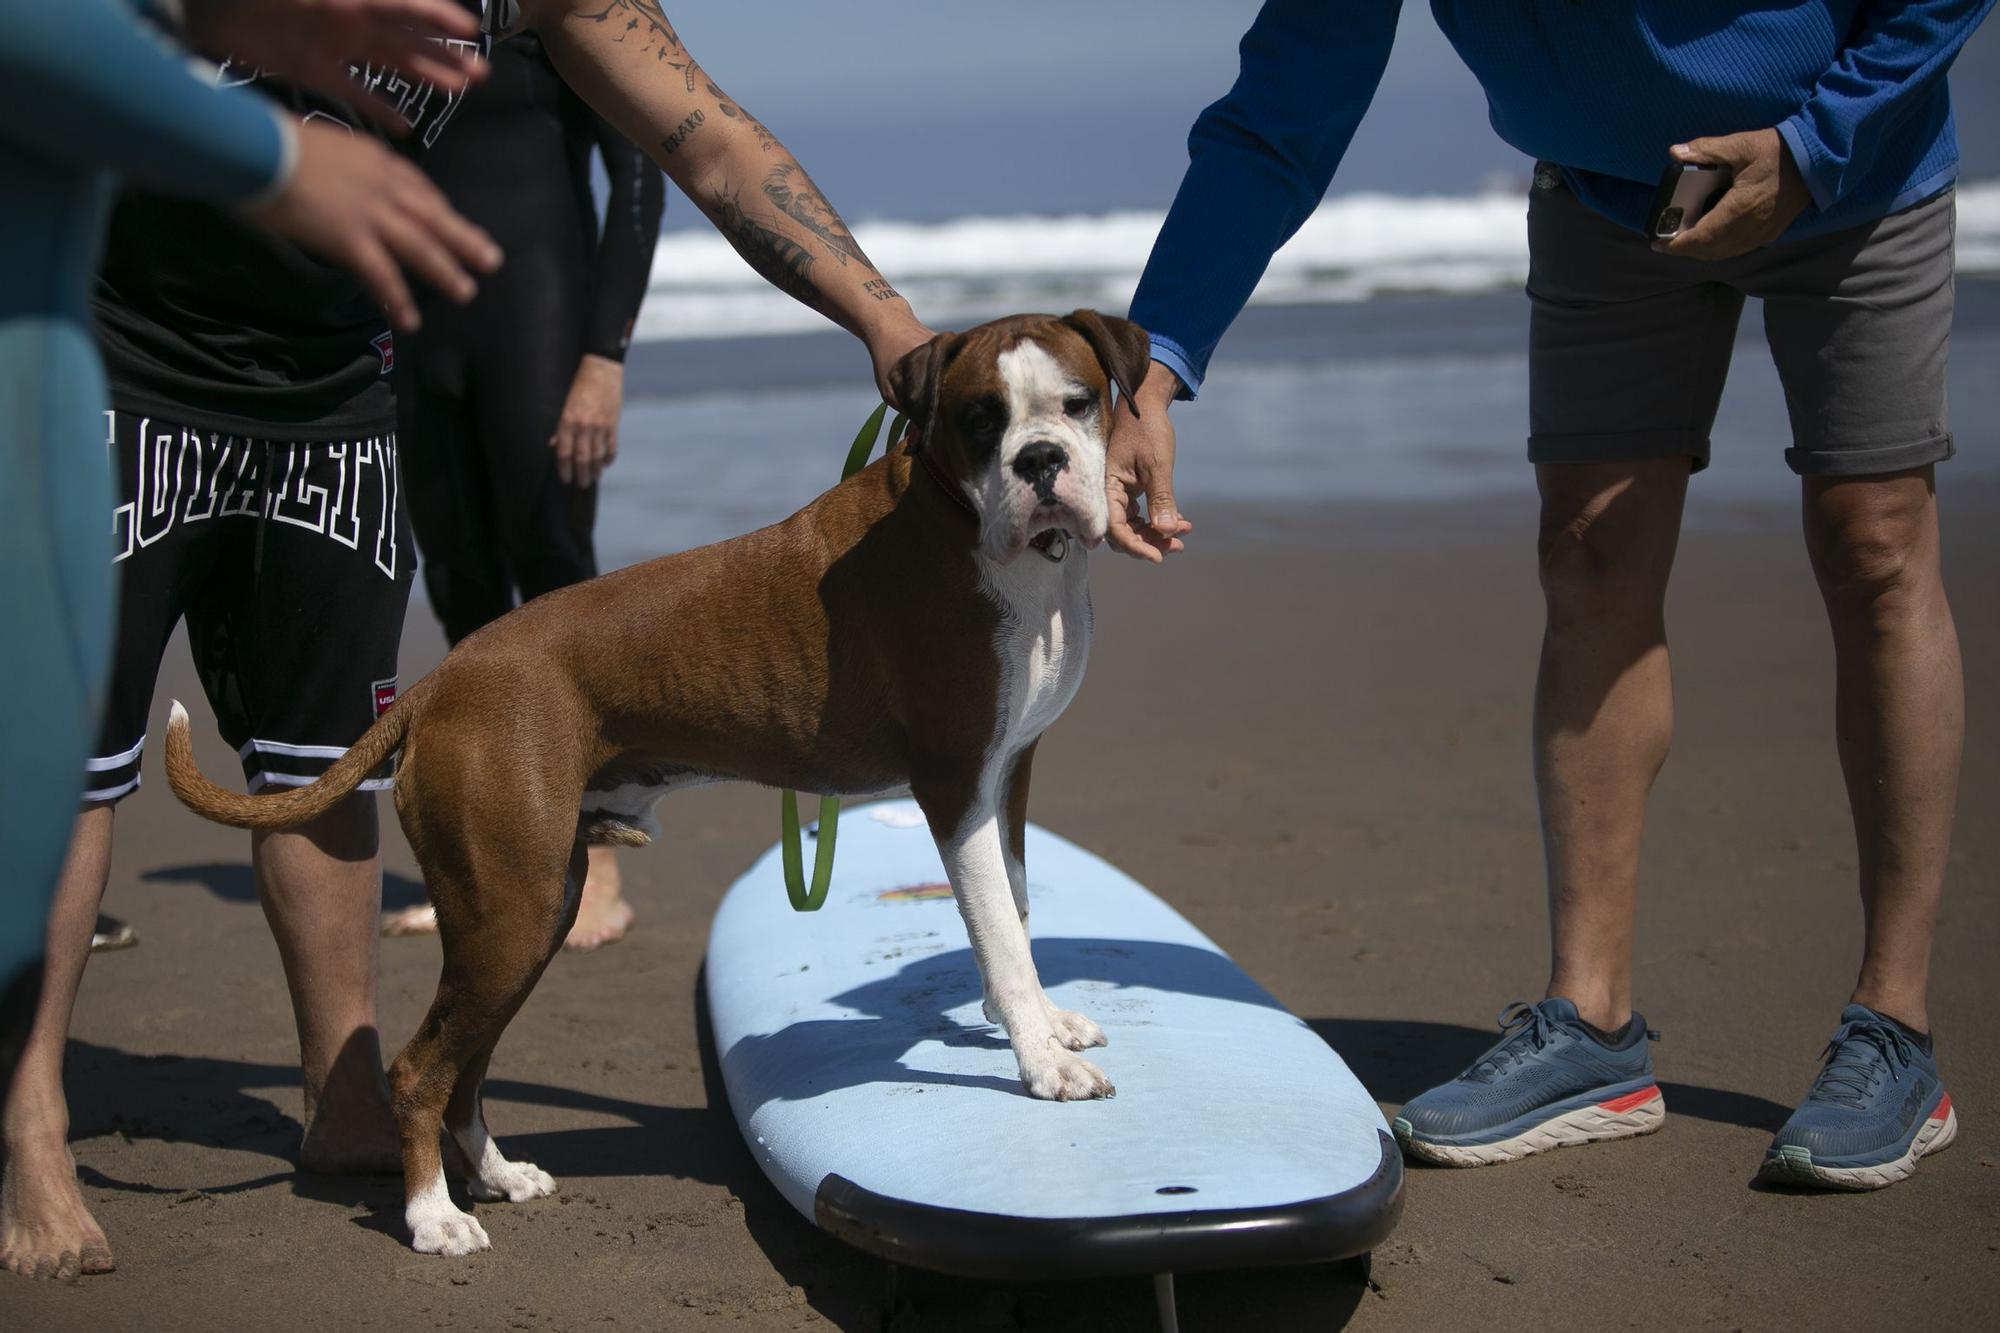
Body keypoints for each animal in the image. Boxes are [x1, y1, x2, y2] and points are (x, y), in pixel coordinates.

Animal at [170, 306, 1152, 1248]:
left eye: (1077, 403)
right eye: (982, 418)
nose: (1040, 461)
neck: (966, 518)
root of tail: (439, 681)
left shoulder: (1006, 777)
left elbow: (1014, 909)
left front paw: (1040, 1021)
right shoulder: (954, 785)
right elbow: (999, 932)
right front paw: (1044, 1061)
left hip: (529, 916)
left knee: (466, 1066)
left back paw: (495, 1175)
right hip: (509, 915)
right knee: (420, 1067)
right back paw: (432, 1216)